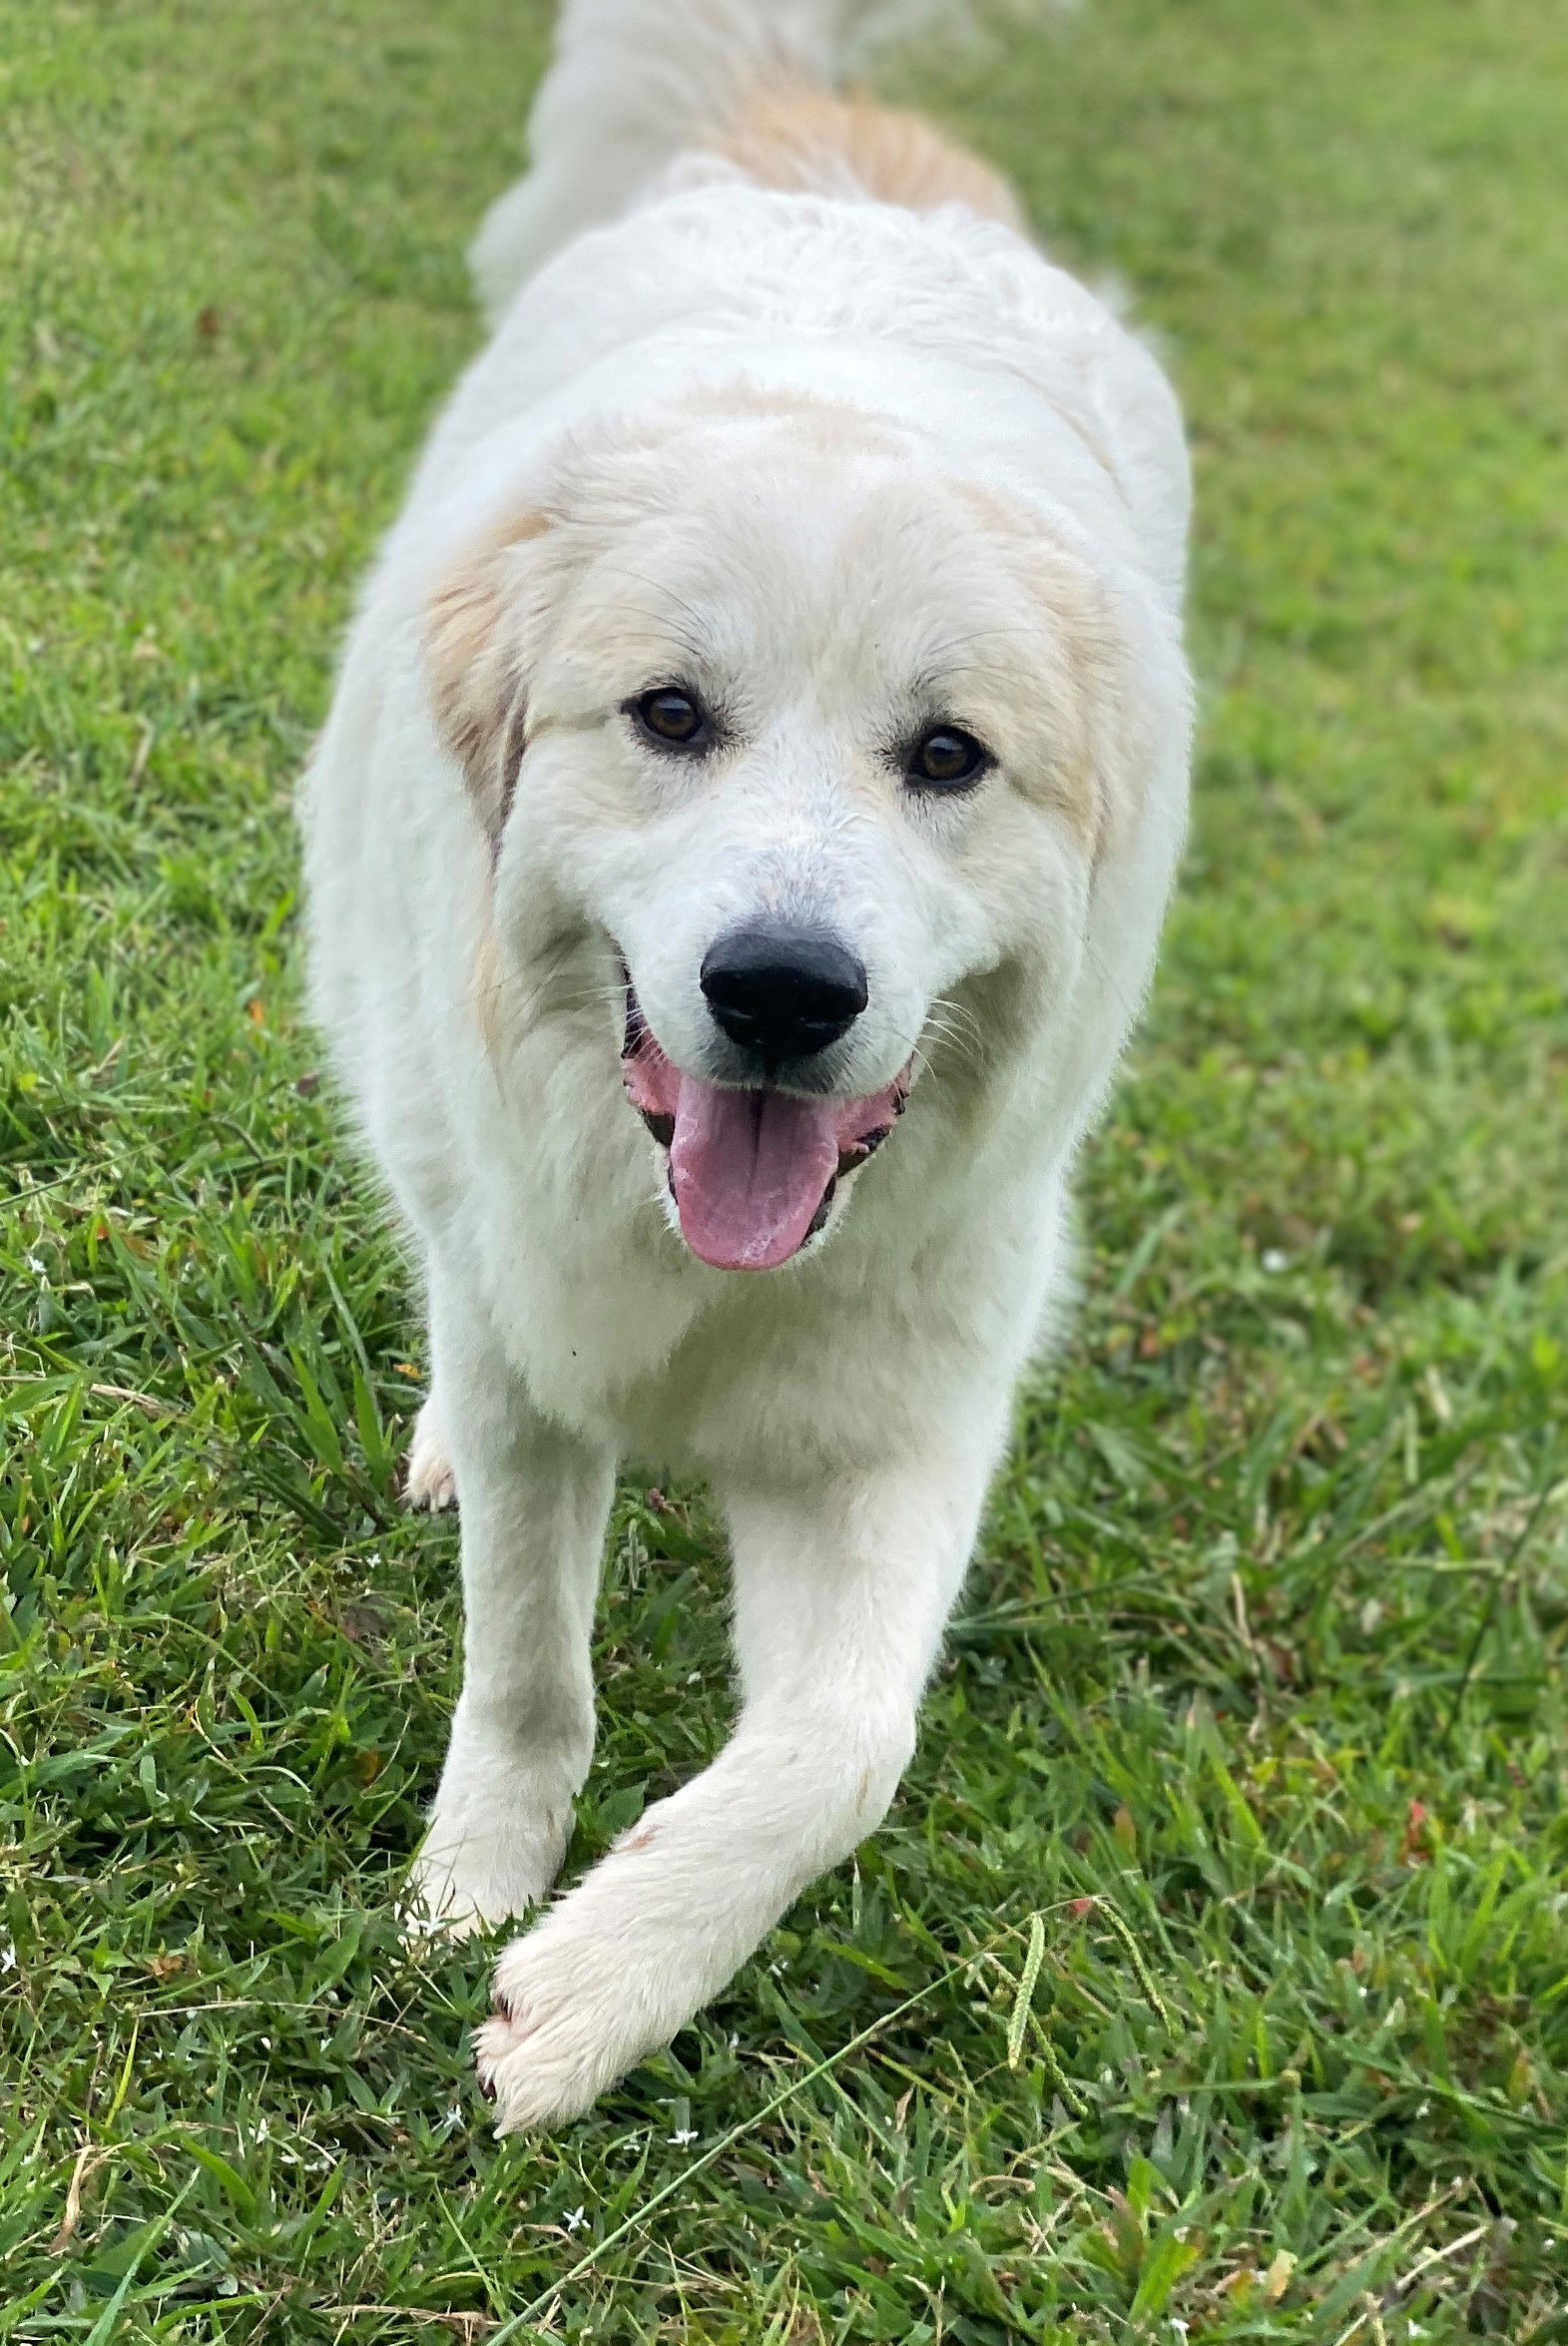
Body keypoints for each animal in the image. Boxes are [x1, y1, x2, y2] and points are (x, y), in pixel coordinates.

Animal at [299, 0, 1190, 2129]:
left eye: (948, 756)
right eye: (670, 716)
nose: (782, 990)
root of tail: (839, 170)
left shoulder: (892, 1428)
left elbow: (839, 1751)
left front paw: (608, 1974)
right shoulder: (539, 1353)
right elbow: (528, 1669)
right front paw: (478, 1892)